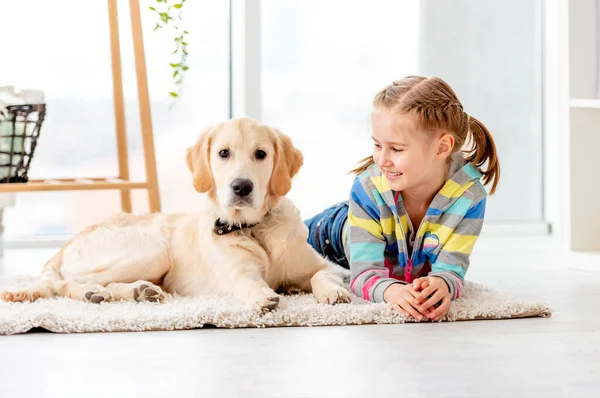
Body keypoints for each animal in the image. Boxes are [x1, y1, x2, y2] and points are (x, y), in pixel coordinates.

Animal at [2, 117, 352, 310]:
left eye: (261, 154)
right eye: (223, 153)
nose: (241, 187)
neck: (254, 228)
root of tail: (71, 240)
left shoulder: (324, 265)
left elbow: (322, 275)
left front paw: (333, 291)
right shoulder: (236, 273)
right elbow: (248, 282)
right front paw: (261, 296)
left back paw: (138, 291)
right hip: (153, 249)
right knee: (63, 283)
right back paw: (91, 291)